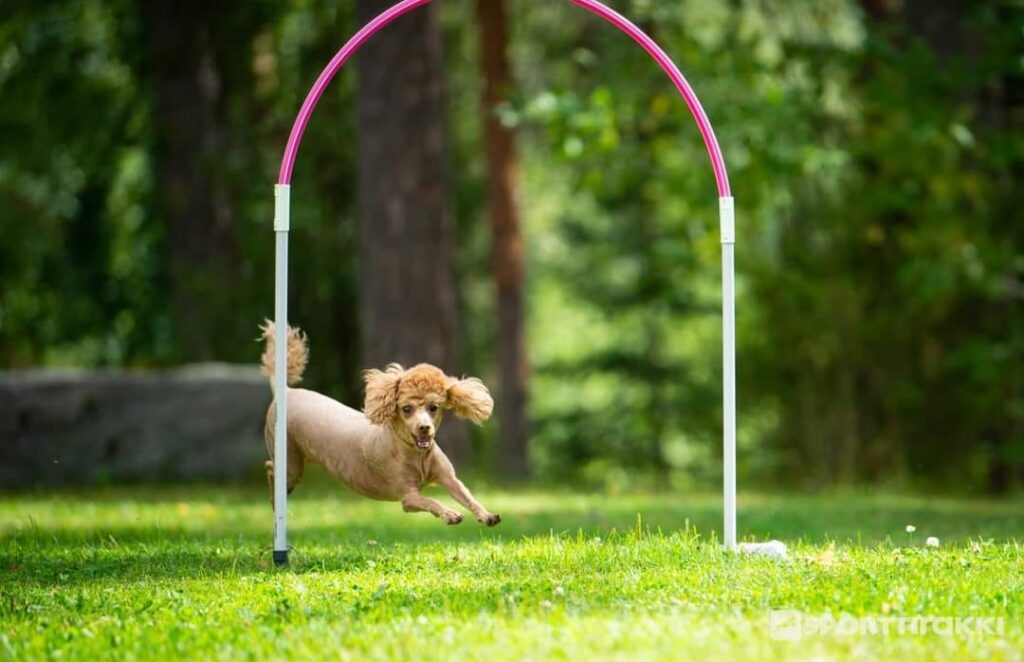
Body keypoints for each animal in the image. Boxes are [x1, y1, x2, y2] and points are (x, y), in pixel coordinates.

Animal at [254, 321, 495, 528]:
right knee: (270, 467)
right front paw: (450, 513)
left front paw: (486, 515)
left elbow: (467, 495)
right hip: (290, 461)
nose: (424, 428)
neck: (414, 453)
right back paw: (275, 501)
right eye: (407, 408)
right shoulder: (408, 497)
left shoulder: (448, 478)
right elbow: (431, 501)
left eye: (433, 407)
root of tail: (285, 391)